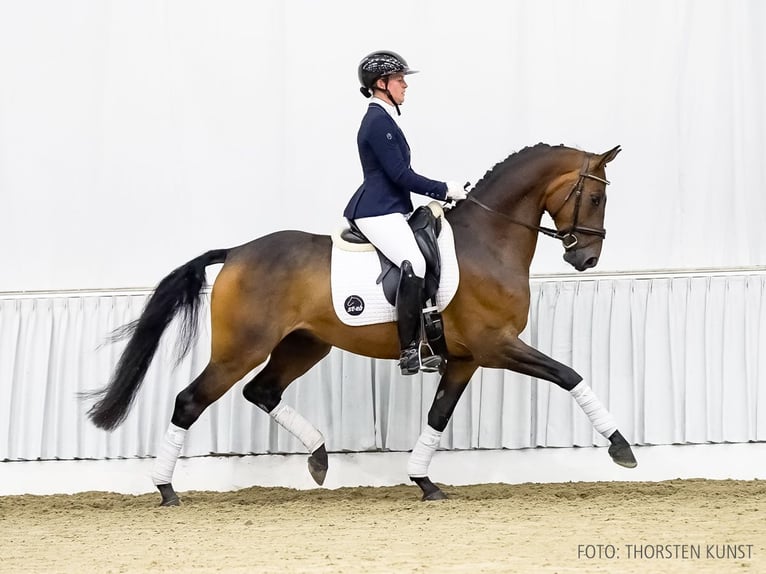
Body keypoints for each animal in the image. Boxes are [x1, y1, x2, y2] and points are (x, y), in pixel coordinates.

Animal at [84, 142, 640, 506]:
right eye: (595, 198)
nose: (586, 259)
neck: (489, 240)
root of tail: (237, 252)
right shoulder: (497, 345)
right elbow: (570, 375)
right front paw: (621, 448)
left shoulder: (466, 358)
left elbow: (438, 416)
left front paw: (423, 482)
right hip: (240, 349)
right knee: (190, 401)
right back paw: (165, 489)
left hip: (305, 345)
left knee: (262, 392)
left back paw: (319, 457)